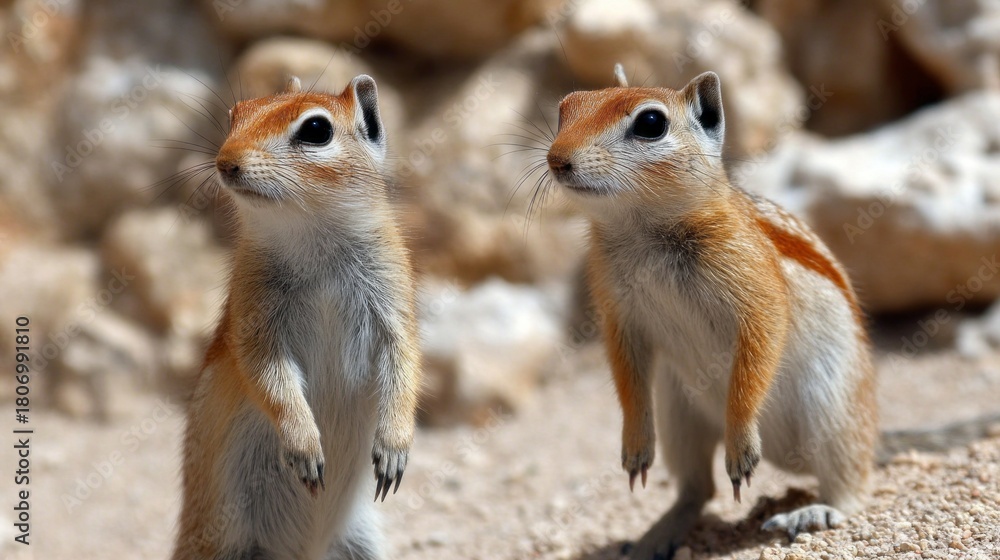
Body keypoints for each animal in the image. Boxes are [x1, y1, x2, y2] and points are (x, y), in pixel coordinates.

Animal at [172, 75, 420, 560]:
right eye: (237, 114)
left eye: (316, 129)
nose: (225, 163)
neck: (312, 236)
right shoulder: (253, 325)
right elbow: (271, 380)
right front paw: (305, 446)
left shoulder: (395, 304)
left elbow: (405, 366)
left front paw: (394, 446)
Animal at [545, 64, 879, 557]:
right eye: (566, 106)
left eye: (650, 123)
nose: (556, 160)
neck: (644, 229)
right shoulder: (618, 315)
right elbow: (627, 378)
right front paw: (633, 446)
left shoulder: (758, 298)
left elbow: (755, 359)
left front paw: (740, 445)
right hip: (678, 410)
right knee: (696, 490)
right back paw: (653, 536)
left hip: (831, 409)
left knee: (852, 484)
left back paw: (814, 511)